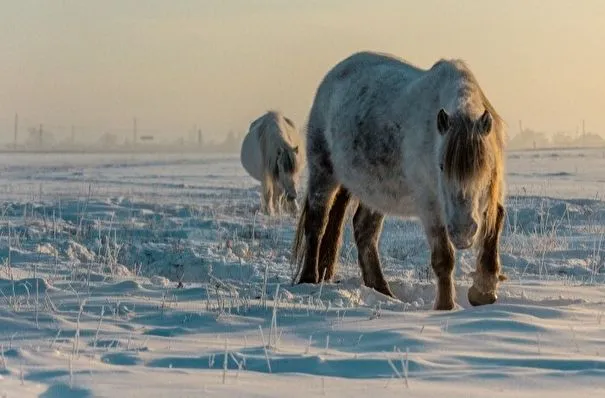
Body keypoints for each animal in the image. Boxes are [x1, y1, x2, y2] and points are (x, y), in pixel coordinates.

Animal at [292, 51, 504, 310]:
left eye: (484, 168)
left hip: (375, 191)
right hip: (323, 173)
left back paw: (382, 290)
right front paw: (445, 307)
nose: (462, 232)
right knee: (317, 223)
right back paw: (308, 279)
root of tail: (332, 77)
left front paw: (483, 291)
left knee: (364, 231)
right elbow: (443, 258)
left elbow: (494, 226)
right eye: (441, 166)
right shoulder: (430, 206)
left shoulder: (488, 199)